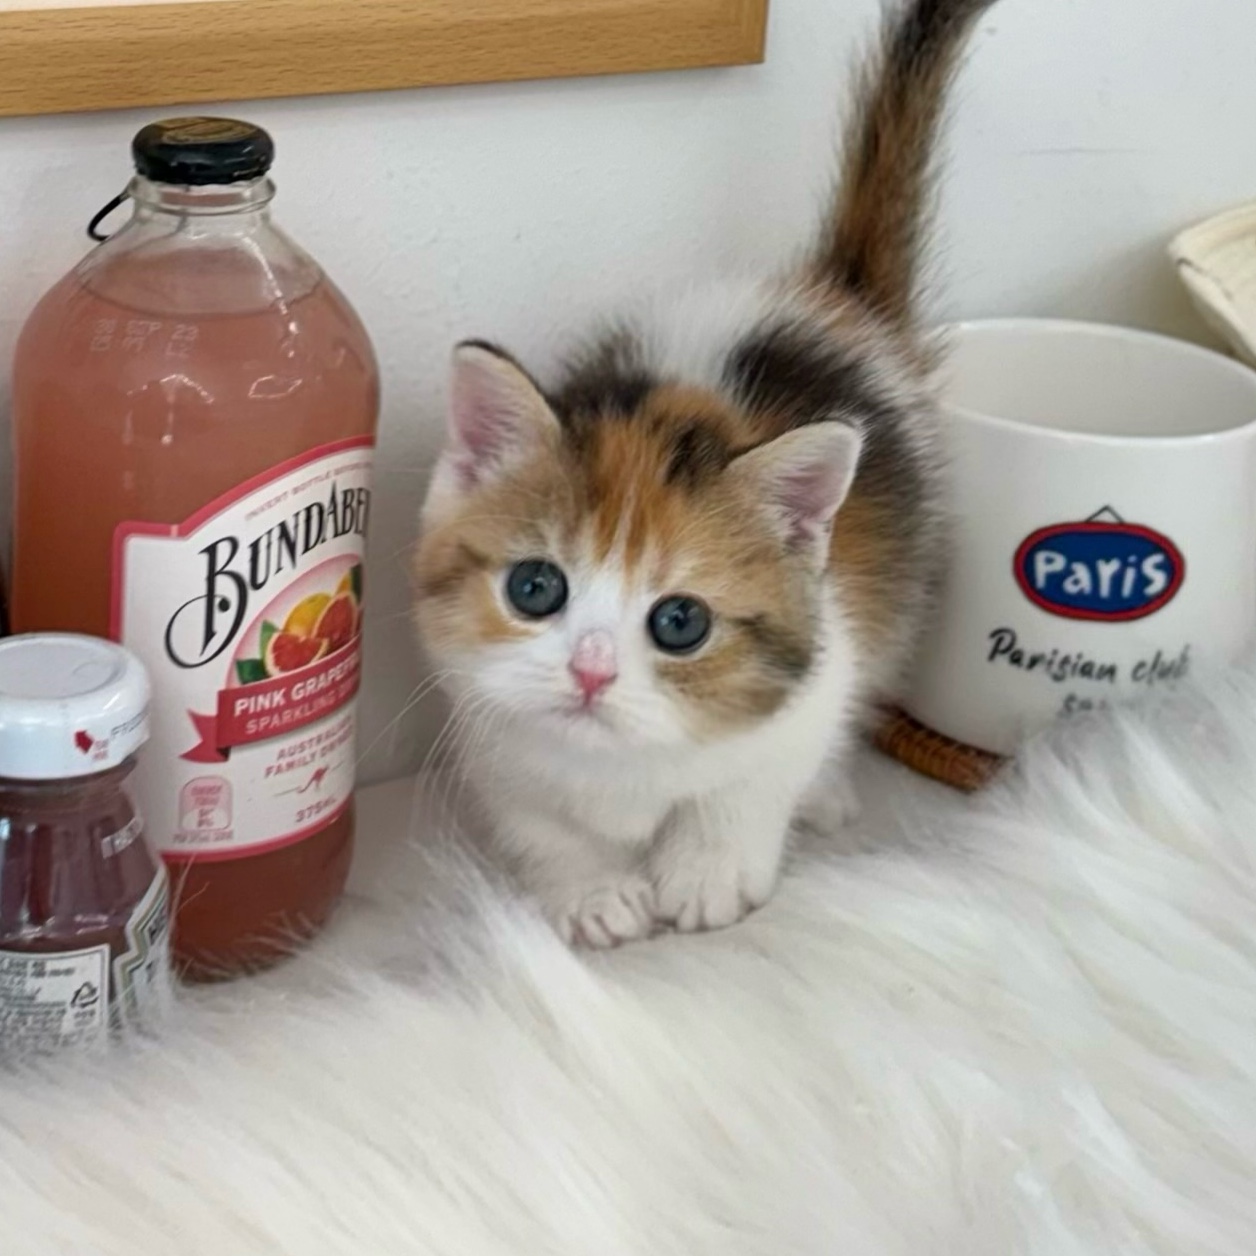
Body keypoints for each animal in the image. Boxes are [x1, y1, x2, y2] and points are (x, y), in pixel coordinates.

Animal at [414, 0, 998, 947]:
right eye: (535, 589)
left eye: (679, 622)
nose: (591, 673)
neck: (617, 764)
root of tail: (828, 298)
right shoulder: (484, 726)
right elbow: (545, 824)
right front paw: (594, 890)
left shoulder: (802, 694)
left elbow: (742, 791)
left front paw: (707, 875)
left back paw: (827, 796)